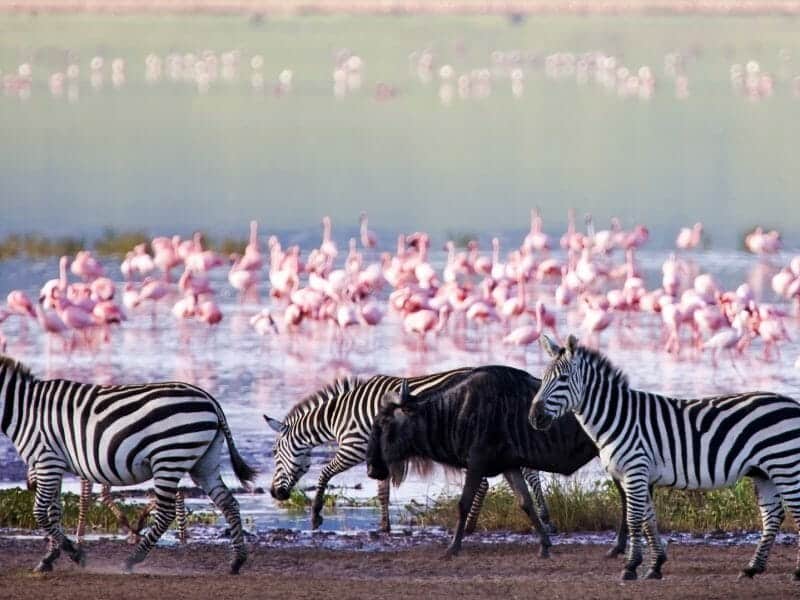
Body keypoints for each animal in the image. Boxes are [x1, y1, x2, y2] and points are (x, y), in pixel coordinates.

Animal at [0, 354, 255, 574]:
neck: (23, 408)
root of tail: (210, 400)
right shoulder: (54, 463)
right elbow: (54, 511)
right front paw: (50, 558)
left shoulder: (46, 460)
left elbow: (40, 512)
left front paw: (74, 554)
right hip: (204, 463)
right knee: (229, 503)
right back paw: (237, 561)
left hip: (169, 458)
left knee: (166, 513)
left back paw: (131, 560)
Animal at [264, 368, 554, 534]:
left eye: (276, 453)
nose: (274, 493)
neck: (338, 416)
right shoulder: (378, 455)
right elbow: (382, 493)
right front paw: (384, 527)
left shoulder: (353, 447)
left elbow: (324, 473)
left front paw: (315, 516)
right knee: (526, 473)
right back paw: (544, 518)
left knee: (491, 480)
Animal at [530, 334, 800, 581]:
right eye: (543, 379)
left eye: (563, 379)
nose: (534, 417)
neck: (616, 417)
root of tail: (793, 403)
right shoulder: (637, 475)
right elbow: (648, 520)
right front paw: (655, 566)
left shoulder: (635, 471)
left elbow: (634, 520)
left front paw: (630, 567)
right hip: (764, 472)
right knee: (772, 516)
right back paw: (752, 568)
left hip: (785, 465)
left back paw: (795, 572)